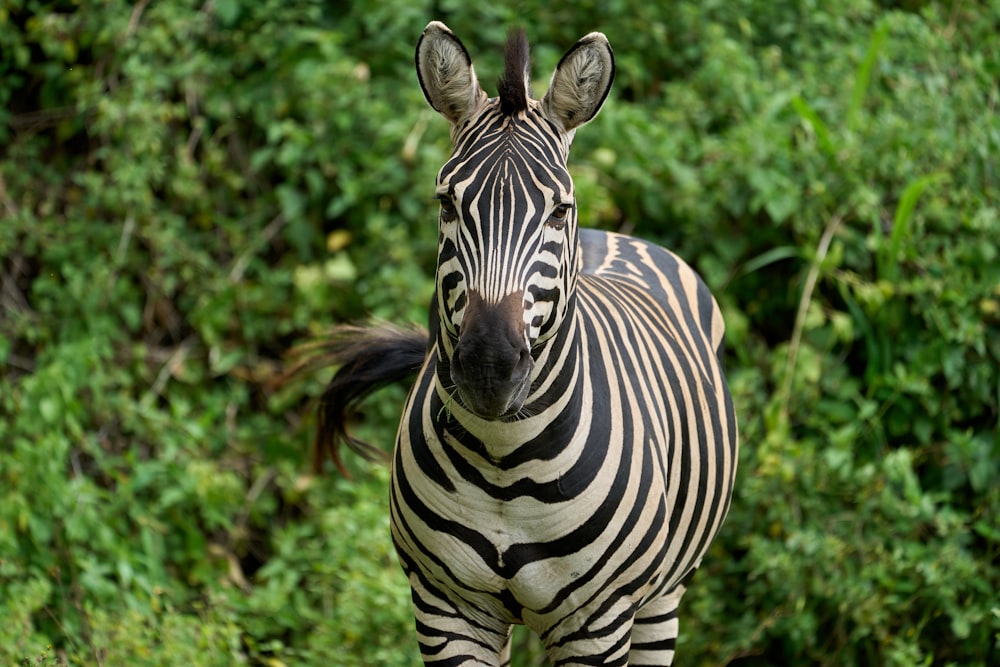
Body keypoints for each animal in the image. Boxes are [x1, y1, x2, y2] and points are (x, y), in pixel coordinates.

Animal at [316, 22, 740, 667]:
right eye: (446, 203)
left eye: (559, 210)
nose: (489, 366)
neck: (504, 461)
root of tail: (614, 236)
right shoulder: (447, 610)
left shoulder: (598, 624)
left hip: (661, 598)